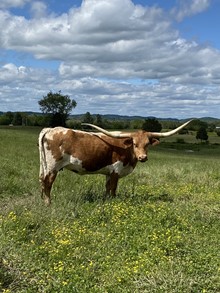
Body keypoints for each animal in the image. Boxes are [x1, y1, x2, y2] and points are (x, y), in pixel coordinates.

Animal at [39, 120, 192, 204]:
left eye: (147, 144)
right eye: (134, 144)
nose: (143, 157)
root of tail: (50, 129)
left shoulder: (108, 172)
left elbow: (107, 188)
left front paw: (105, 201)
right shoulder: (115, 171)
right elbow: (113, 188)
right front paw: (112, 202)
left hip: (44, 166)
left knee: (41, 181)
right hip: (53, 167)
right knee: (48, 183)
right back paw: (48, 203)